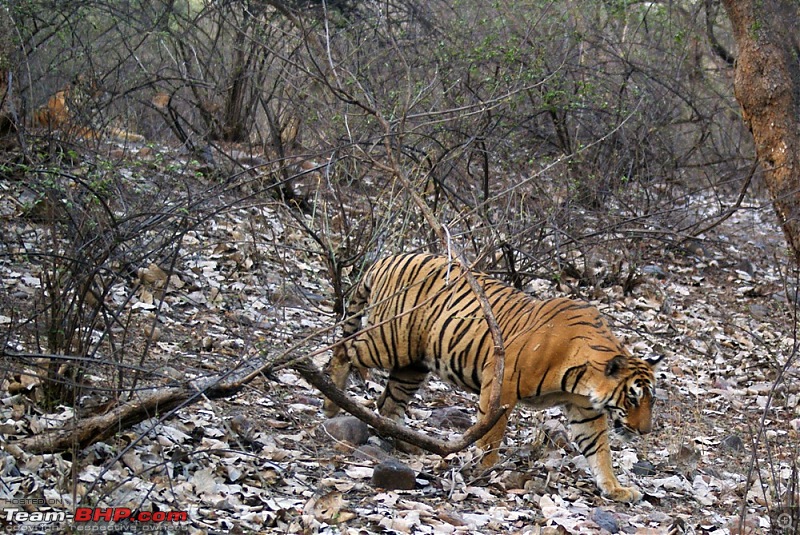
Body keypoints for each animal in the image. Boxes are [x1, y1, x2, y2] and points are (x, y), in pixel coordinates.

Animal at [322, 251, 664, 502]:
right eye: (632, 398)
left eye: (650, 401)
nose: (645, 431)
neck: (583, 382)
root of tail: (387, 258)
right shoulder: (502, 384)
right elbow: (492, 434)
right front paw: (484, 469)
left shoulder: (586, 411)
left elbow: (599, 451)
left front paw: (615, 489)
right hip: (391, 340)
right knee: (342, 349)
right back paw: (331, 403)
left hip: (413, 365)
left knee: (389, 403)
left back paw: (404, 443)